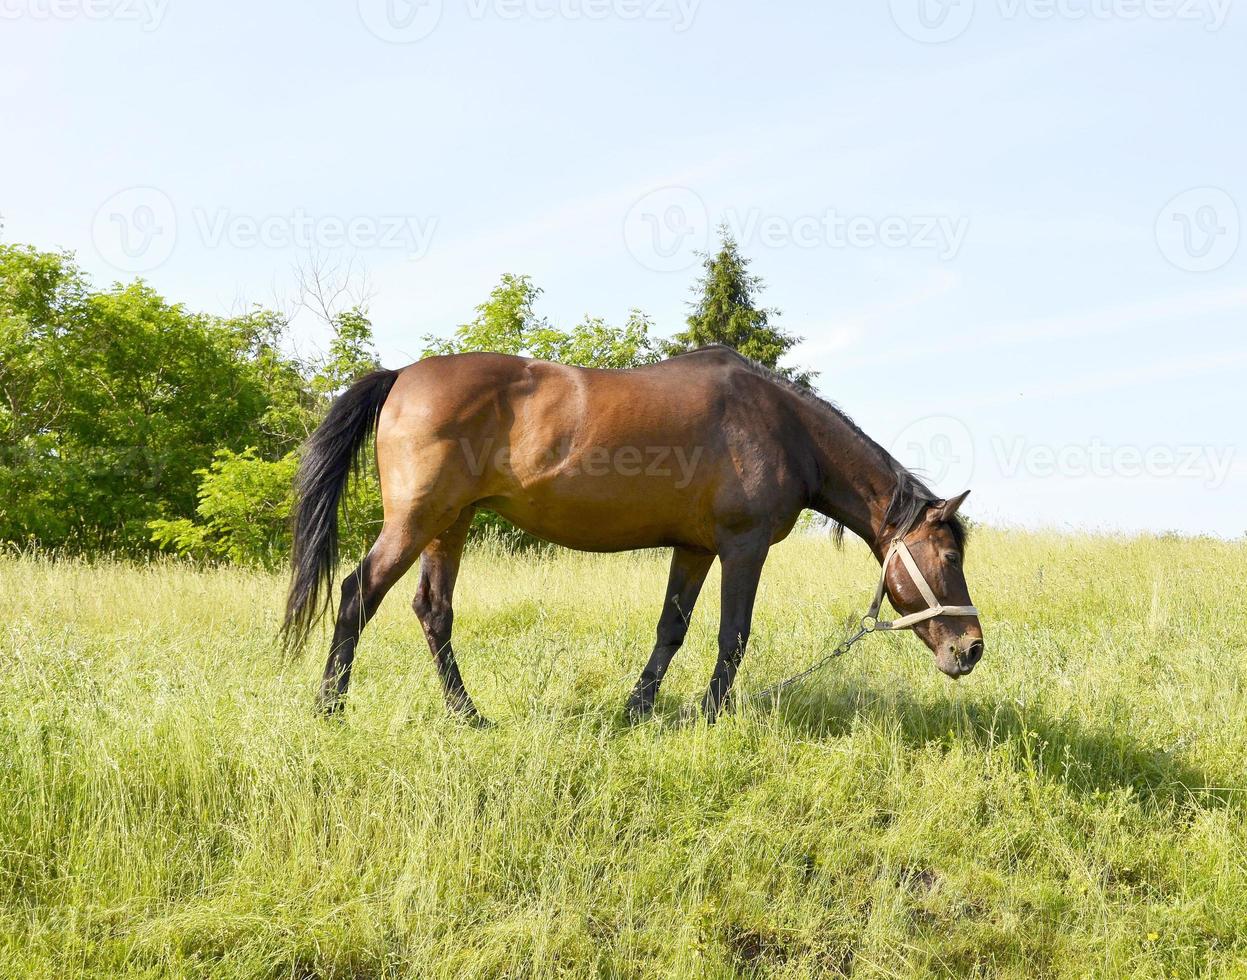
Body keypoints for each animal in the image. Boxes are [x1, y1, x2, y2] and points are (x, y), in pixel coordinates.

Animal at [283, 344, 982, 718]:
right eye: (948, 556)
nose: (972, 649)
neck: (783, 427)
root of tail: (402, 374)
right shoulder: (743, 546)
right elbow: (732, 636)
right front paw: (711, 713)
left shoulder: (695, 549)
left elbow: (672, 629)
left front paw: (637, 710)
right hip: (416, 521)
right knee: (357, 593)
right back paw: (331, 708)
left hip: (448, 526)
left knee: (433, 610)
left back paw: (468, 716)